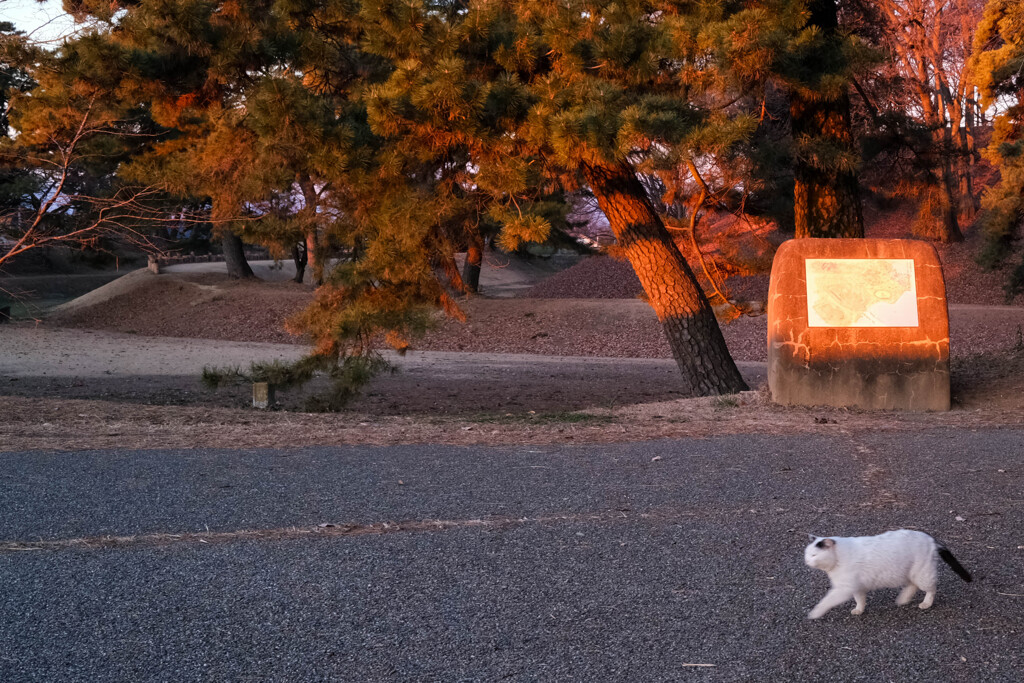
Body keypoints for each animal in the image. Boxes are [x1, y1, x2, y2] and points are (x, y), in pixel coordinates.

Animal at [802, 528, 970, 618]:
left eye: (814, 555)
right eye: (807, 554)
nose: (807, 561)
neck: (837, 559)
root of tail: (931, 539)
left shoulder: (844, 588)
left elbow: (826, 601)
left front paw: (815, 613)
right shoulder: (855, 587)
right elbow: (860, 599)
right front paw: (859, 609)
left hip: (922, 574)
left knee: (931, 588)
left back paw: (926, 603)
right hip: (910, 573)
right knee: (912, 585)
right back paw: (903, 599)